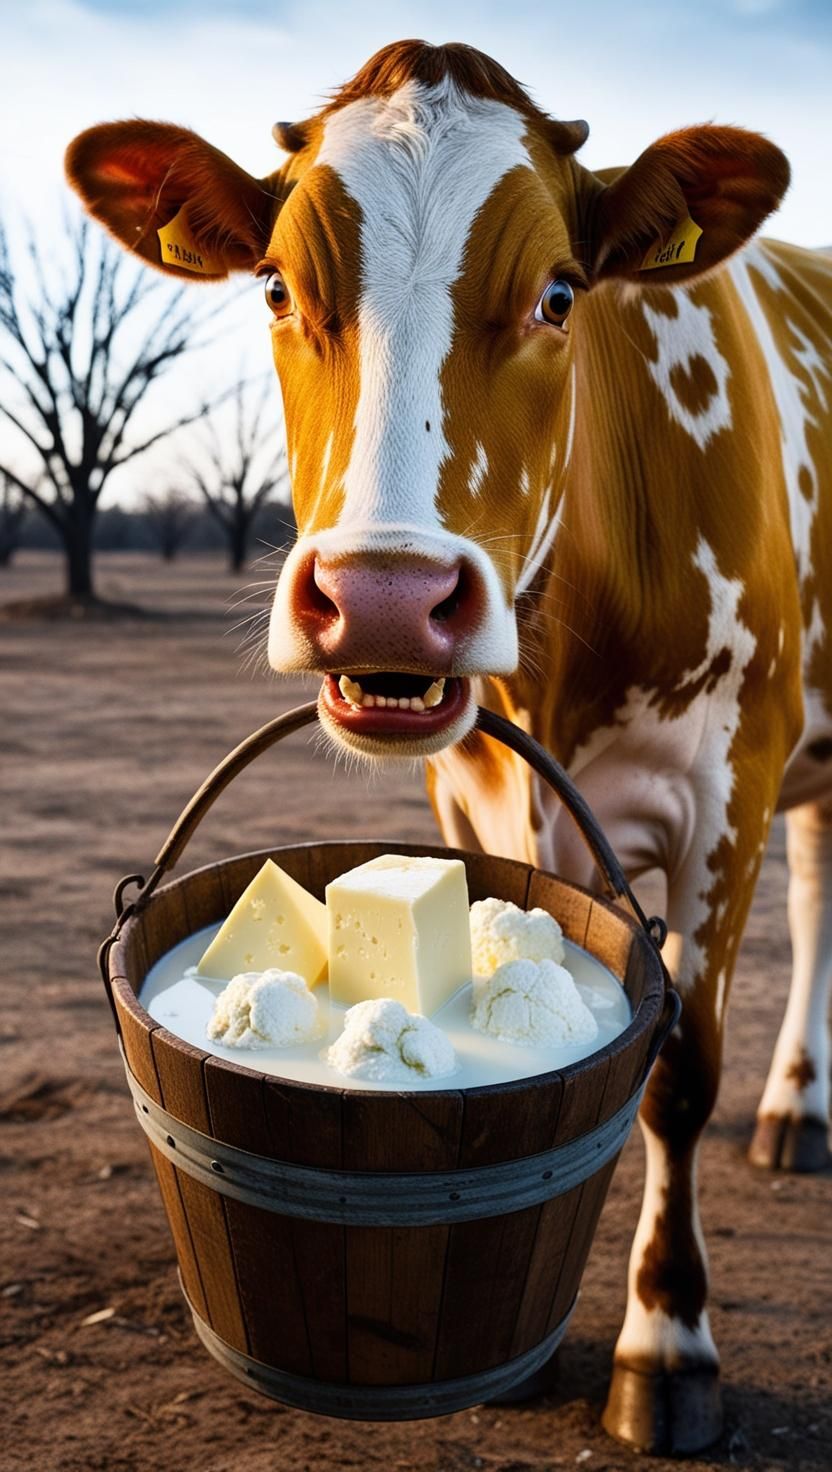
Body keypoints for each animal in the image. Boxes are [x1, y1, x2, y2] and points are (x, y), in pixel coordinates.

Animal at [66, 39, 832, 1456]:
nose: (381, 596)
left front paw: (667, 1342)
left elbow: (677, 1074)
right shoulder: (471, 792)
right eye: (275, 285)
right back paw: (795, 1107)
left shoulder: (728, 787)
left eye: (560, 293)